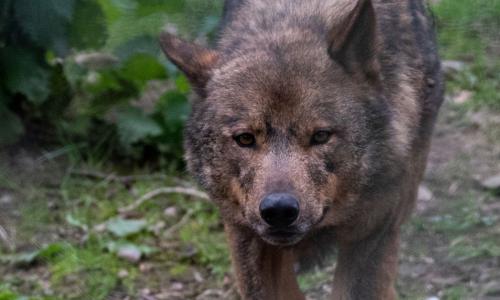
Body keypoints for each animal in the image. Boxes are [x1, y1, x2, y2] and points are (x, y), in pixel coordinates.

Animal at [159, 0, 442, 298]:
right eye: (245, 139)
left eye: (320, 136)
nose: (279, 210)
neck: (291, 20)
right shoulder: (246, 239)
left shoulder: (372, 233)